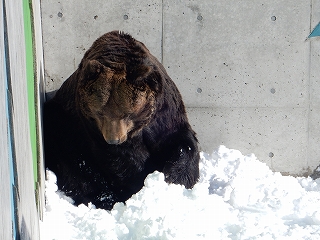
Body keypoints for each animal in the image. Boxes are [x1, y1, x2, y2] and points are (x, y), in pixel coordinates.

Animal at [44, 30, 200, 210]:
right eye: (99, 113)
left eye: (127, 113)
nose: (114, 140)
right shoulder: (90, 127)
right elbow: (123, 161)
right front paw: (136, 187)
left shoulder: (165, 114)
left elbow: (182, 143)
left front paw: (173, 179)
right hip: (61, 127)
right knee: (78, 168)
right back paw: (104, 198)